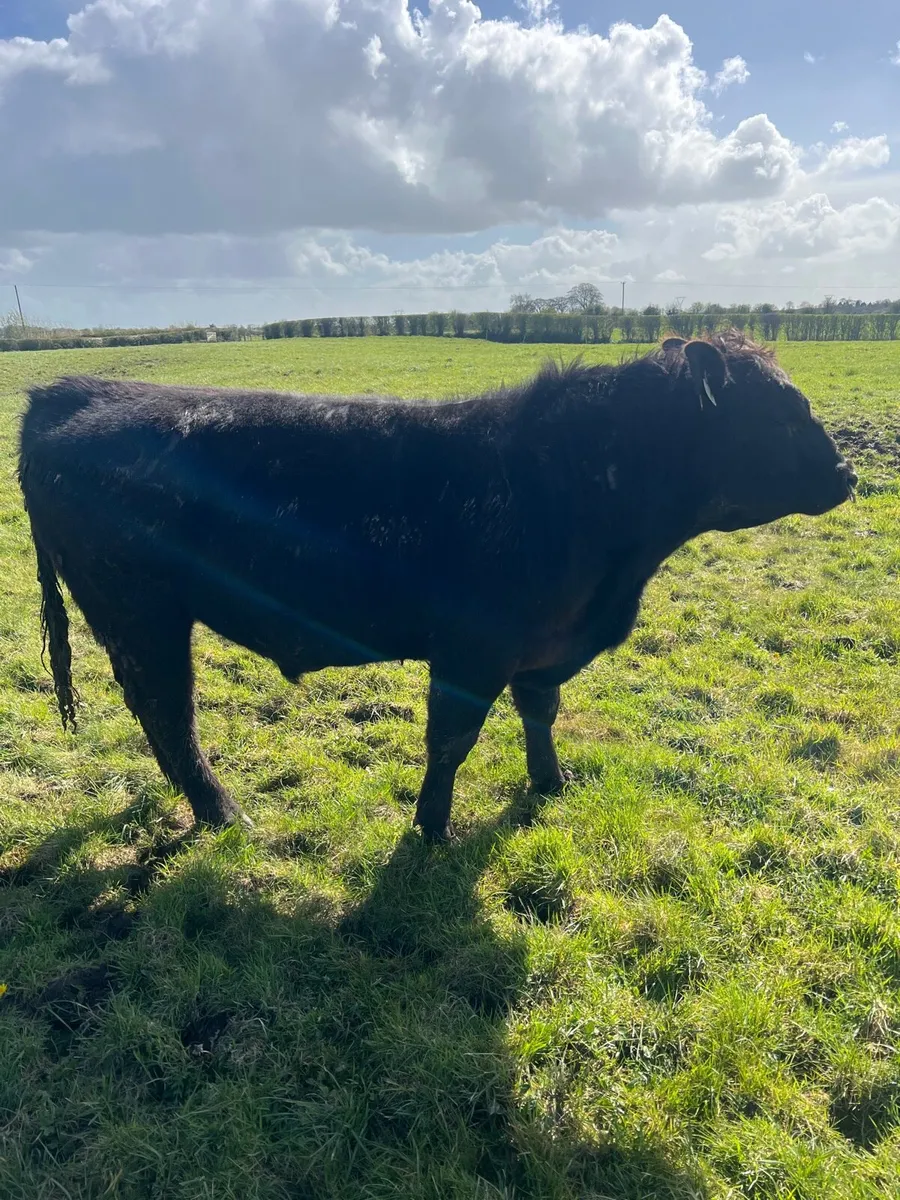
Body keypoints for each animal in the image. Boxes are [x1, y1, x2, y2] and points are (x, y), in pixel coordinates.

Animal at [18, 332, 856, 843]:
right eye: (781, 413)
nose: (848, 473)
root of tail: (74, 389)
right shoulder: (471, 649)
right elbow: (451, 742)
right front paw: (430, 830)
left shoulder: (541, 647)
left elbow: (540, 714)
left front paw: (551, 784)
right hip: (139, 613)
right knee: (169, 715)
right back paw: (225, 815)